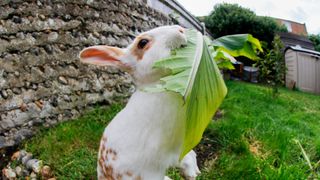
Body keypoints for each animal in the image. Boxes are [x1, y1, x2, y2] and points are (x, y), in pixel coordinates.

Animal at [79, 25, 200, 180]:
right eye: (142, 43)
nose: (180, 29)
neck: (156, 84)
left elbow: (190, 154)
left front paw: (195, 171)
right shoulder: (171, 148)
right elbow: (182, 158)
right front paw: (192, 173)